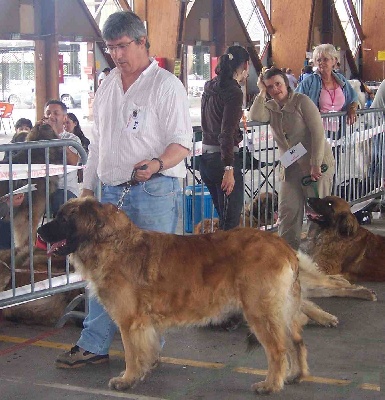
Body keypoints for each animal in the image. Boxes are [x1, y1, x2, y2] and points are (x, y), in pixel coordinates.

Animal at [38, 197, 308, 394]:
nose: (40, 231)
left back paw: (271, 385)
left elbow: (131, 354)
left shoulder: (130, 321)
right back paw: (295, 375)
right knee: (296, 341)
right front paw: (143, 371)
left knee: (278, 349)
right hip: (281, 311)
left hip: (260, 312)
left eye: (63, 218)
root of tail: (284, 247)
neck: (111, 242)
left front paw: (127, 379)